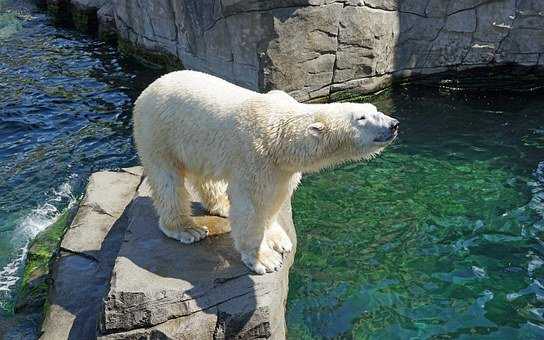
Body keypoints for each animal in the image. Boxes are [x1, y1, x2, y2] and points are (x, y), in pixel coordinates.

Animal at [133, 70, 400, 274]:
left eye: (375, 109)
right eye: (362, 118)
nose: (394, 124)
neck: (281, 134)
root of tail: (149, 87)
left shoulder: (281, 168)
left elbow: (274, 198)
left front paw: (279, 240)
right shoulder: (255, 156)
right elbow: (251, 205)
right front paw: (265, 259)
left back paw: (221, 205)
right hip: (158, 132)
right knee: (167, 181)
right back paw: (187, 229)